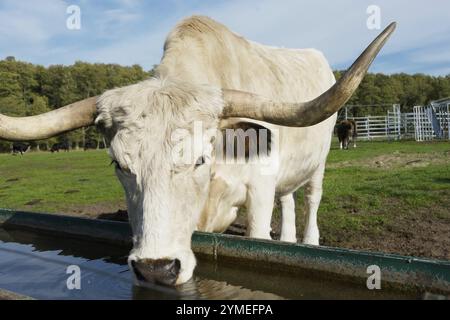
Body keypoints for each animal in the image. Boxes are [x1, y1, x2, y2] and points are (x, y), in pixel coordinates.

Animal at [0, 16, 394, 284]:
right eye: (119, 165)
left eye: (199, 160)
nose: (156, 269)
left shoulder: (259, 190)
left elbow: (258, 234)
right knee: (288, 199)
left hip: (320, 161)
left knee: (311, 198)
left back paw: (309, 241)